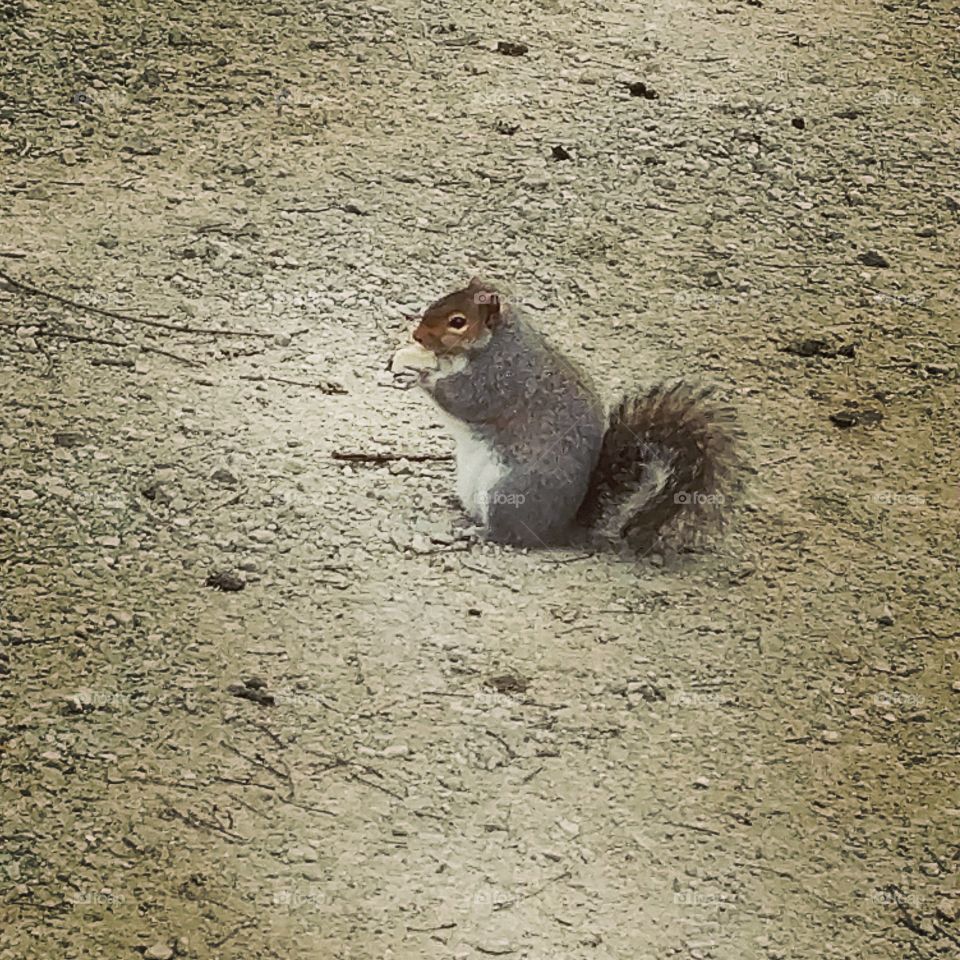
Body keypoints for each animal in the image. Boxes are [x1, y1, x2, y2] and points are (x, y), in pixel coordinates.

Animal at [391, 277, 741, 552]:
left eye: (458, 322)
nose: (417, 337)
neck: (492, 343)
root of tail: (564, 528)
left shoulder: (499, 378)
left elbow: (463, 400)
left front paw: (419, 374)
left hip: (509, 494)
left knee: (510, 534)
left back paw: (479, 531)